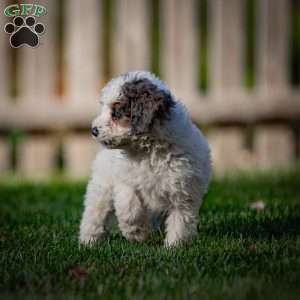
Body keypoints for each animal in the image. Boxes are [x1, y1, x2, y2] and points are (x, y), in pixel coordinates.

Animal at [78, 71, 212, 246]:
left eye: (116, 112)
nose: (93, 130)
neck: (149, 152)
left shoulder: (183, 193)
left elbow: (180, 221)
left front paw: (173, 246)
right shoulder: (125, 180)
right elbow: (128, 205)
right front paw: (136, 233)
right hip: (102, 184)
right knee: (95, 211)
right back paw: (88, 241)